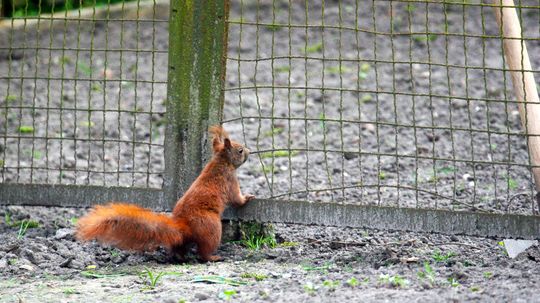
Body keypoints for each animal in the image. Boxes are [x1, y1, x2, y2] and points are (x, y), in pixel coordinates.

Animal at [76, 126, 255, 262]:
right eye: (240, 150)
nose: (249, 151)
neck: (220, 162)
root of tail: (184, 226)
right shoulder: (230, 180)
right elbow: (236, 198)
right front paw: (248, 197)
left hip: (188, 238)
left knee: (180, 247)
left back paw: (180, 257)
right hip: (212, 228)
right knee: (203, 252)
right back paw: (213, 257)